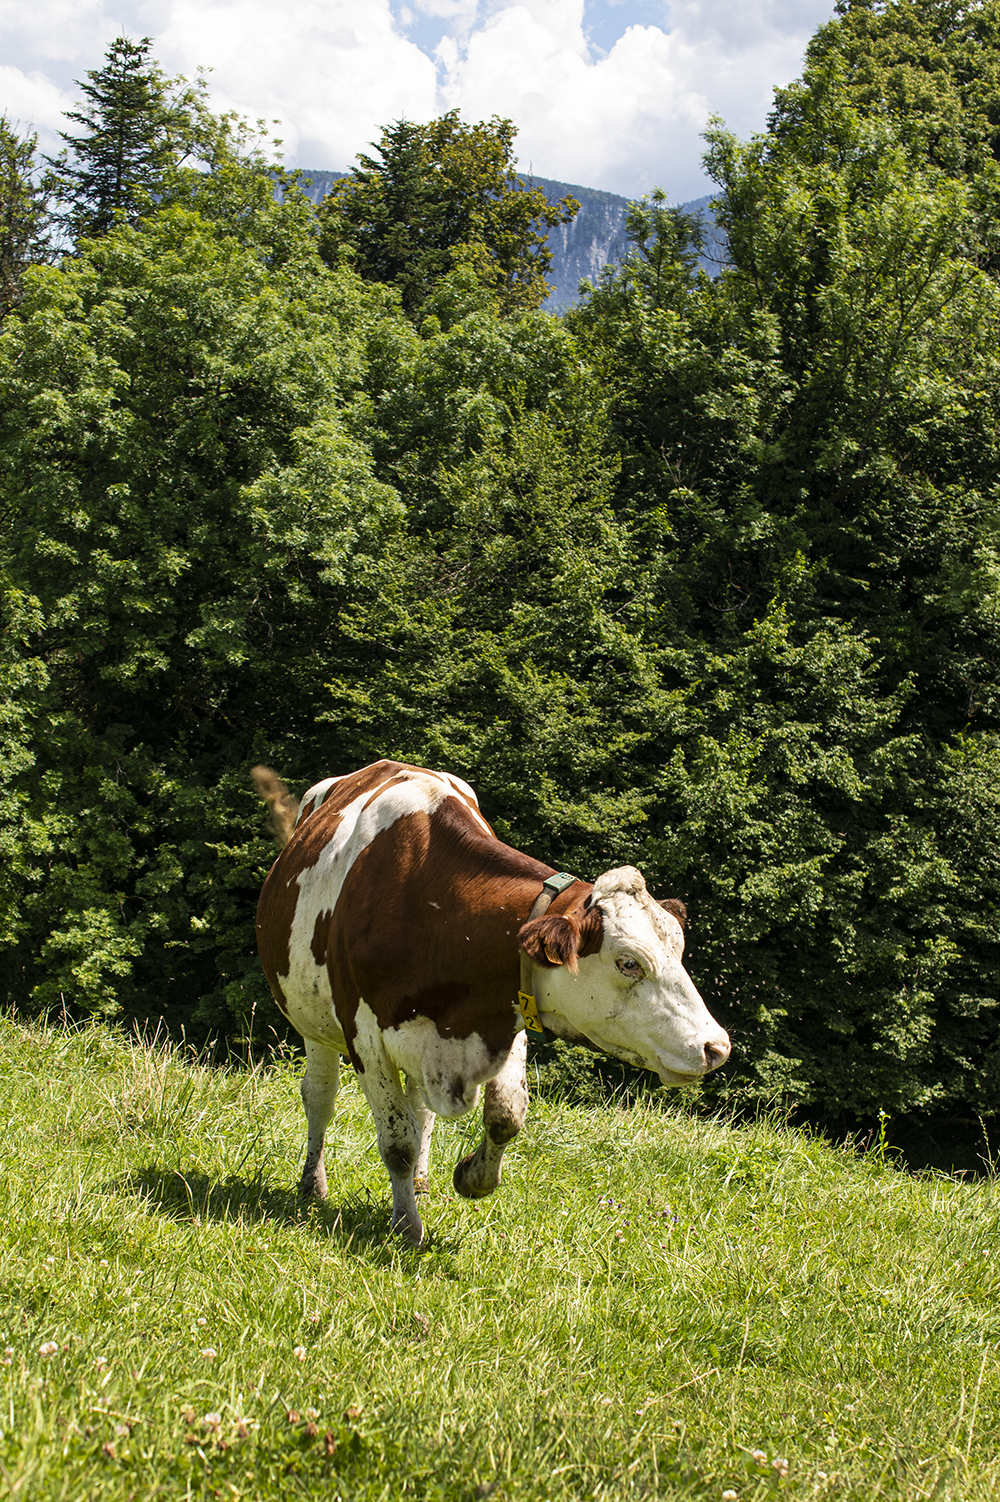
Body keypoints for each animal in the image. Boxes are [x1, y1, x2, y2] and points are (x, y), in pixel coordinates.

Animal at [253, 763, 729, 1243]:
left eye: (679, 948)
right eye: (629, 963)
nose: (717, 1047)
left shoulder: (508, 1011)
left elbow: (506, 1114)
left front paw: (471, 1178)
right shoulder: (365, 1036)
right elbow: (397, 1141)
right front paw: (407, 1226)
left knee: (421, 1109)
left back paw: (420, 1181)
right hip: (314, 1025)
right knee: (320, 1096)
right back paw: (313, 1184)